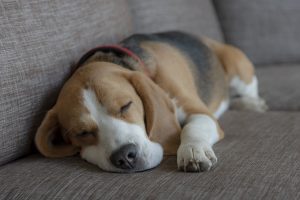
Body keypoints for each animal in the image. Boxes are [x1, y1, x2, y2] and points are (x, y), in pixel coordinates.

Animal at [35, 31, 268, 172]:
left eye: (126, 105)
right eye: (82, 133)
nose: (125, 157)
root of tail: (206, 39)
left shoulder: (198, 111)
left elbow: (191, 128)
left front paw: (193, 151)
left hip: (239, 69)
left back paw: (252, 103)